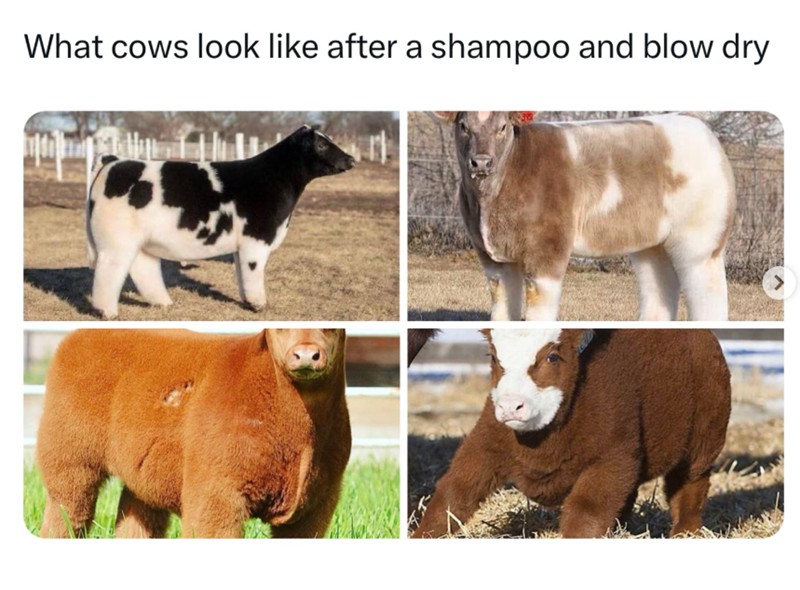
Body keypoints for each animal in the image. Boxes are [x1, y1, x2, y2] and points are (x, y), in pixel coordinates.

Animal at [36, 328, 351, 538]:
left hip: (144, 476)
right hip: (70, 460)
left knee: (137, 520)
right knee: (66, 514)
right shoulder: (215, 491)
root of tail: (77, 336)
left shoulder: (320, 502)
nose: (306, 354)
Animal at [87, 126, 355, 318]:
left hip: (140, 241)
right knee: (109, 271)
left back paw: (162, 303)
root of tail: (114, 160)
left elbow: (241, 273)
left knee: (143, 268)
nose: (351, 159)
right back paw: (107, 312)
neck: (273, 178)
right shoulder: (256, 239)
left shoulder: (242, 245)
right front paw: (259, 305)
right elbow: (253, 272)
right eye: (321, 144)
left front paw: (247, 301)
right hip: (116, 241)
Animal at [411, 329, 731, 538]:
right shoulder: (485, 444)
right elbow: (453, 495)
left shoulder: (611, 457)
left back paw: (685, 533)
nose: (511, 406)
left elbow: (585, 512)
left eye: (553, 357)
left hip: (704, 439)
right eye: (494, 357)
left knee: (688, 486)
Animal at [429, 112, 735, 321]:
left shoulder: (547, 248)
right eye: (463, 126)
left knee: (708, 295)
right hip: (652, 244)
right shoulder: (492, 257)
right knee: (659, 289)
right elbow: (502, 311)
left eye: (502, 126)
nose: (481, 162)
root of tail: (700, 128)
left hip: (701, 241)